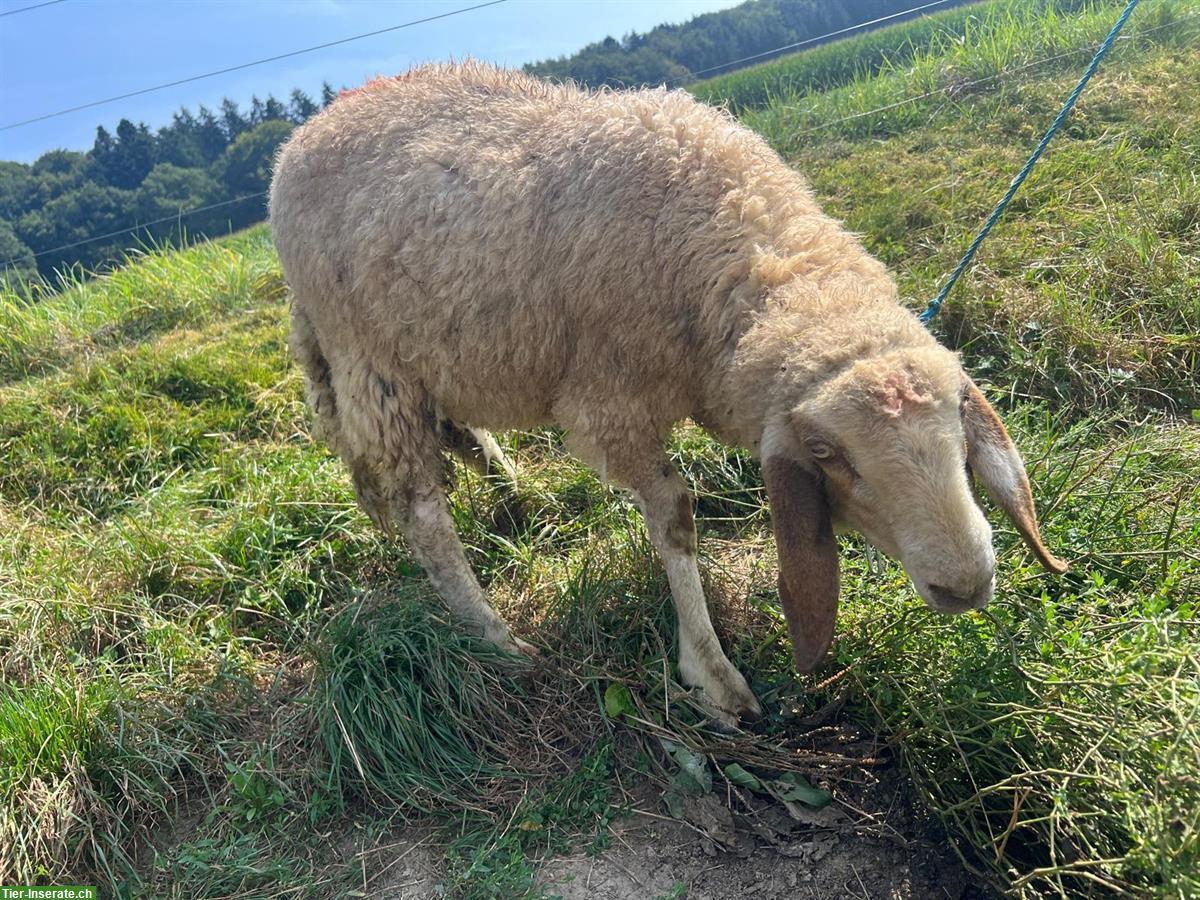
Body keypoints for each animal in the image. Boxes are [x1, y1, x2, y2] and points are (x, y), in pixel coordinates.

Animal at [267, 61, 1065, 724]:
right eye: (830, 458)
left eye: (959, 432)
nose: (966, 586)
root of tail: (310, 129)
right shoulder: (607, 405)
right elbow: (676, 517)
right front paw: (712, 672)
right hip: (368, 361)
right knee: (422, 514)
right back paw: (494, 637)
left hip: (431, 354)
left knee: (453, 436)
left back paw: (512, 485)